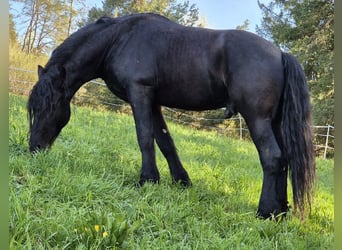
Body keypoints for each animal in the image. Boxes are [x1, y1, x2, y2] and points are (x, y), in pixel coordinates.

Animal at [26, 13, 316, 219]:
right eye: (33, 109)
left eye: (49, 107)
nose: (34, 148)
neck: (118, 38)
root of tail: (280, 53)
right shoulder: (153, 102)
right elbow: (165, 142)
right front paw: (181, 181)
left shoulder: (140, 93)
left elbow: (144, 138)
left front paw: (147, 180)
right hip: (274, 122)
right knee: (285, 160)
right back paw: (281, 211)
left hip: (257, 118)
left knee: (272, 157)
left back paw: (265, 211)